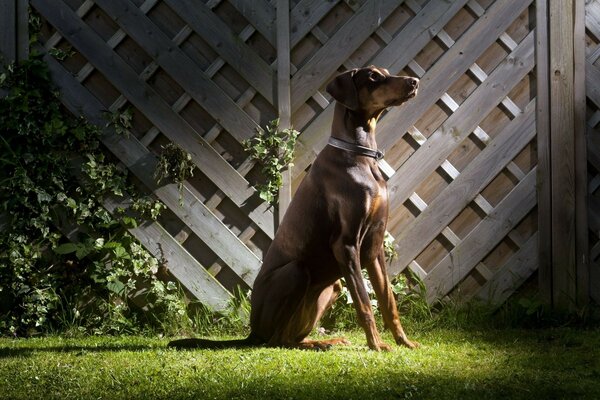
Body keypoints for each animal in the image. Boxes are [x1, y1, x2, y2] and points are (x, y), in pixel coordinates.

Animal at [169, 65, 420, 350]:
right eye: (374, 77)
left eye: (386, 72)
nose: (414, 82)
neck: (360, 155)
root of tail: (252, 332)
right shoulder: (345, 245)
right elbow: (365, 304)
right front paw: (376, 345)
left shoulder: (374, 246)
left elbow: (388, 301)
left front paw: (404, 342)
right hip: (296, 273)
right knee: (278, 341)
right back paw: (320, 343)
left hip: (333, 287)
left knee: (291, 337)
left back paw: (325, 341)